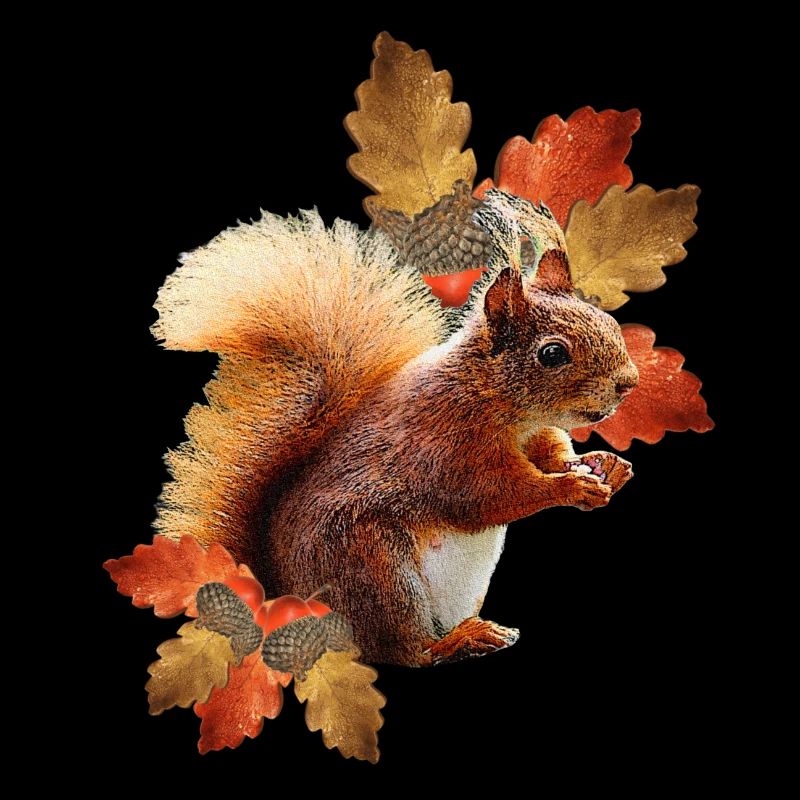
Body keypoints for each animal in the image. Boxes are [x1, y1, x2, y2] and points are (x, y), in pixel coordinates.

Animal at [151, 189, 639, 667]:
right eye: (552, 354)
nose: (629, 382)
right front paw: (571, 488)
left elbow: (554, 455)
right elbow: (493, 495)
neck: (506, 408)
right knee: (401, 651)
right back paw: (455, 643)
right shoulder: (446, 443)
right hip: (374, 570)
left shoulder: (537, 434)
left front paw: (603, 465)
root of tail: (285, 594)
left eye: (608, 321)